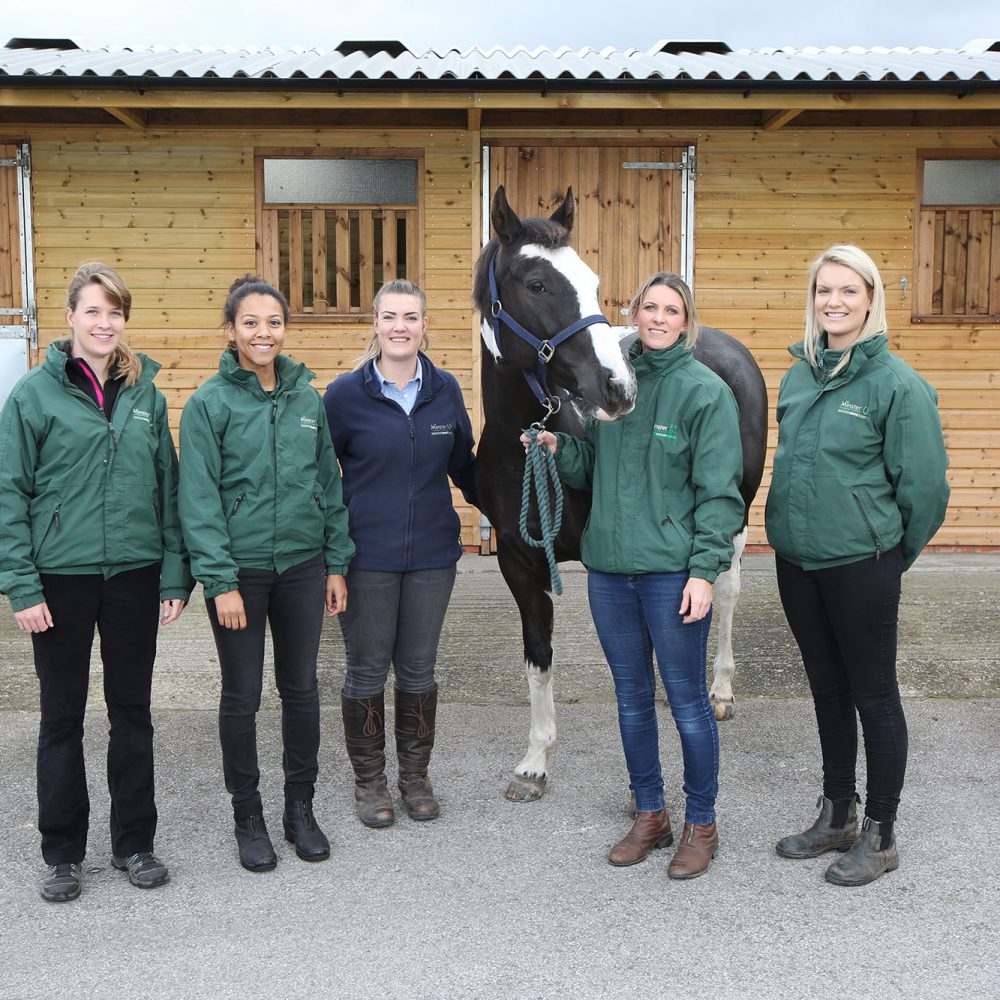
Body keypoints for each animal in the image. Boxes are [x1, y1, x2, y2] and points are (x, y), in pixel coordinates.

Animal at [474, 184, 764, 800]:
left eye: (590, 278)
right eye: (536, 283)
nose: (618, 387)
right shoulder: (517, 560)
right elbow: (539, 656)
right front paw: (534, 761)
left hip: (737, 513)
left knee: (724, 591)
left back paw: (721, 691)